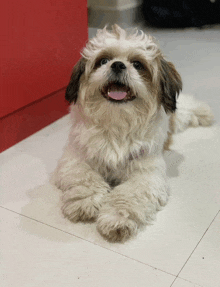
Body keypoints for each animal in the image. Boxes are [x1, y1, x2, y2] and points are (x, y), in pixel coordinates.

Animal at [52, 24, 213, 243]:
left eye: (137, 64)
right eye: (103, 60)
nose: (118, 65)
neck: (117, 123)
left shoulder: (146, 173)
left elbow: (129, 195)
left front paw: (117, 218)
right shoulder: (76, 158)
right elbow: (85, 179)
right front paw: (85, 202)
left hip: (177, 116)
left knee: (187, 107)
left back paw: (203, 111)